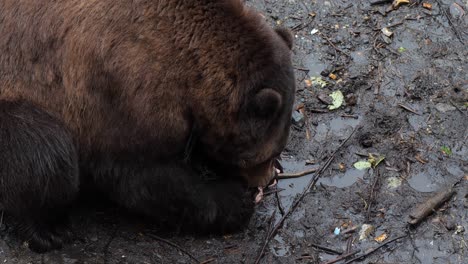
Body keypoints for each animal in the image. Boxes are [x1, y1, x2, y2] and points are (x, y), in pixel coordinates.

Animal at [0, 0, 292, 253]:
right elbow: (143, 176)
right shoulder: (123, 90)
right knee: (48, 153)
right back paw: (47, 230)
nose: (269, 177)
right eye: (269, 153)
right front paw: (236, 201)